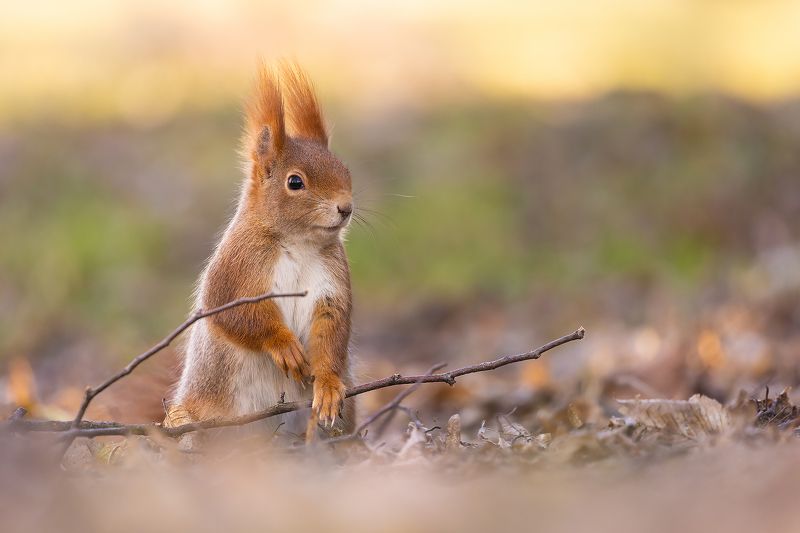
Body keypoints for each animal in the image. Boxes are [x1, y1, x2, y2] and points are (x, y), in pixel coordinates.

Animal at [167, 62, 356, 439]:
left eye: (345, 169)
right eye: (295, 182)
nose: (346, 207)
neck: (298, 242)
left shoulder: (332, 283)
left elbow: (331, 332)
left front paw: (328, 386)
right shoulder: (236, 266)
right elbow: (235, 313)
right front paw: (283, 345)